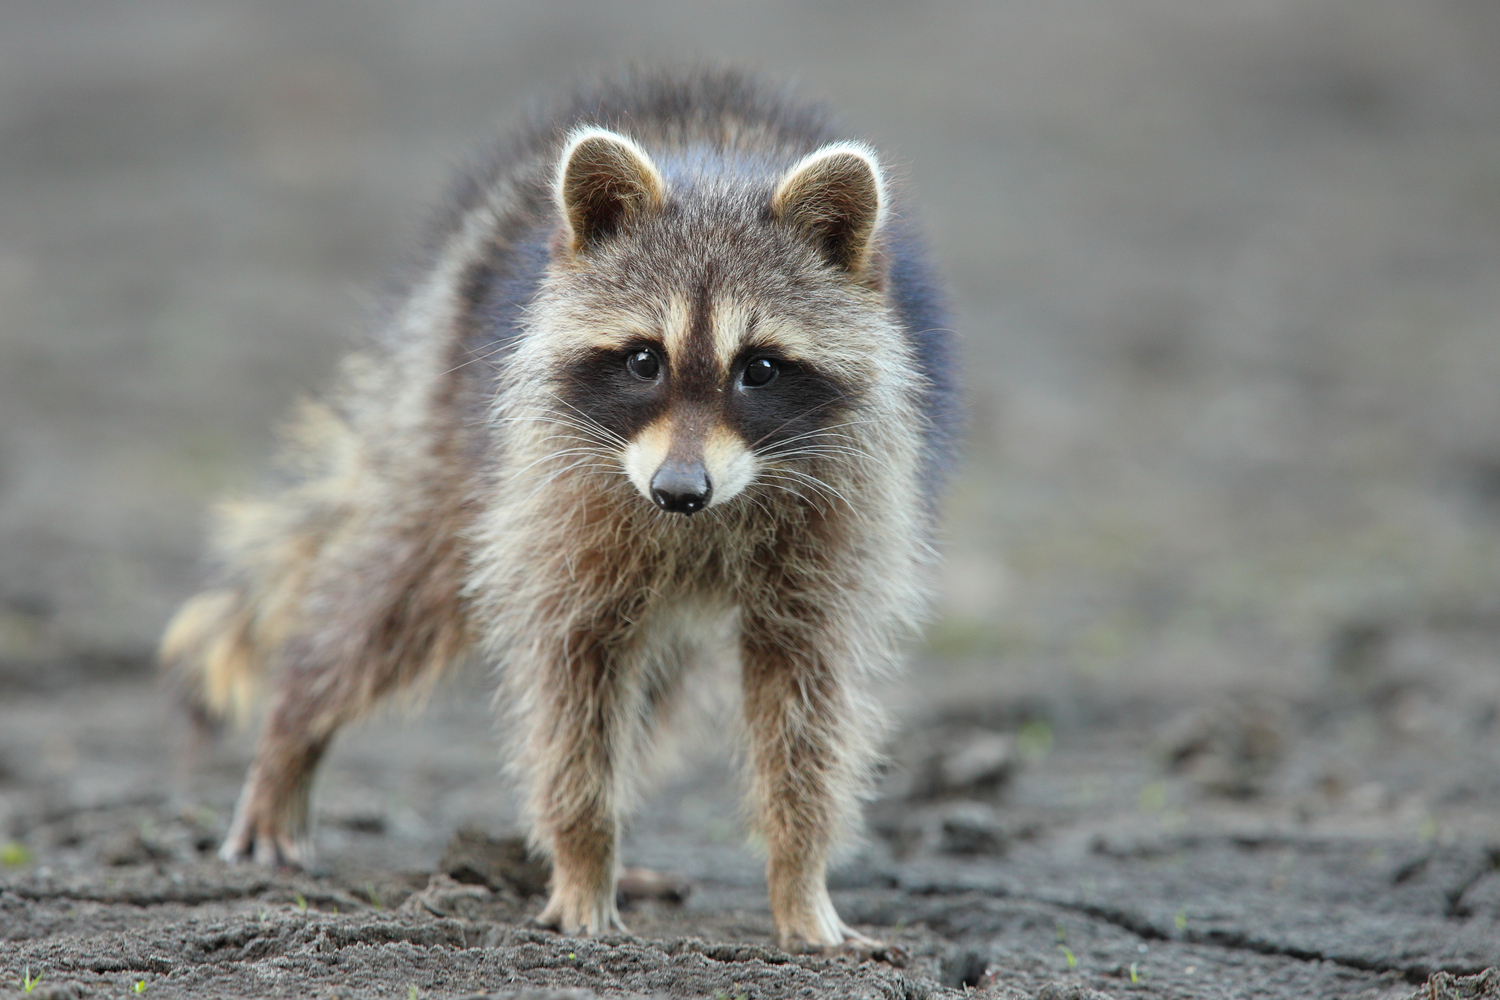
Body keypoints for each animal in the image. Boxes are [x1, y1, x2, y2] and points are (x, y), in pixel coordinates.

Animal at [161, 72, 960, 953]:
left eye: (758, 368)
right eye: (644, 360)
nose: (679, 492)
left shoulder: (846, 503)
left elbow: (806, 702)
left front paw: (800, 877)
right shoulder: (559, 489)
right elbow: (571, 675)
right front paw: (582, 858)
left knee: (653, 696)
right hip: (455, 420)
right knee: (395, 595)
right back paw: (294, 729)